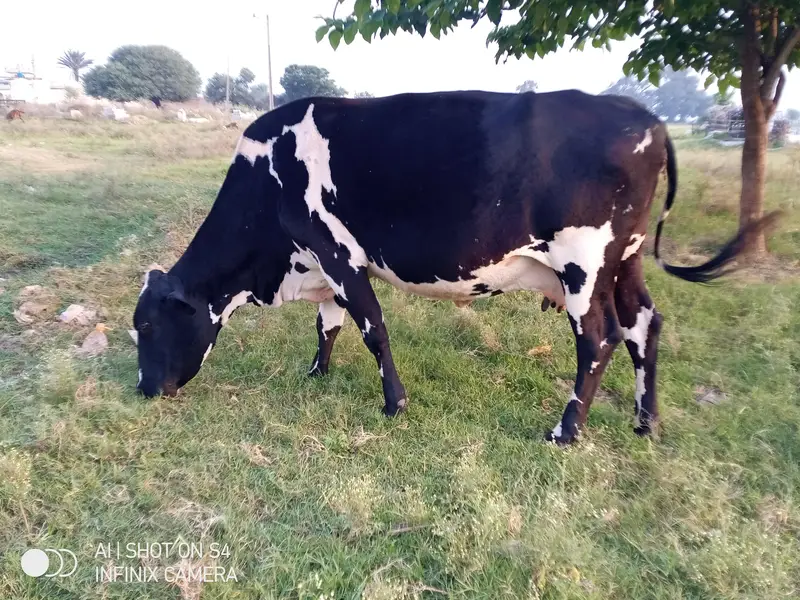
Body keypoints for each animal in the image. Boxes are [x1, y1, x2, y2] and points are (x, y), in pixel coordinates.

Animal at [132, 90, 773, 445]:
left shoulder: (338, 251)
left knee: (600, 338)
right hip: (627, 257)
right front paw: (316, 373)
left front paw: (394, 403)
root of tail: (645, 115)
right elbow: (328, 323)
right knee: (644, 323)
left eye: (147, 326)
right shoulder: (320, 261)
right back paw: (646, 422)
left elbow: (371, 327)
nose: (144, 390)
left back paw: (565, 432)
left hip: (584, 263)